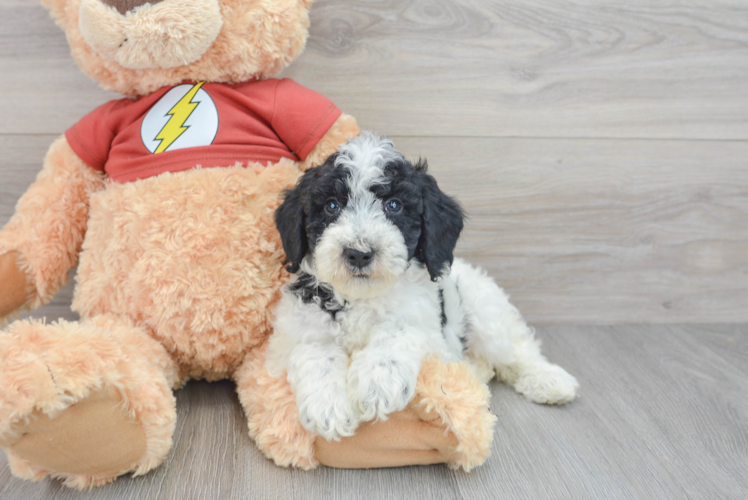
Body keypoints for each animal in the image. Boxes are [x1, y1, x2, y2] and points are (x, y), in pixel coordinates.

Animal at [266, 133, 580, 442]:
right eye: (332, 206)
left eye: (394, 205)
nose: (358, 253)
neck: (362, 297)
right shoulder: (293, 332)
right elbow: (315, 351)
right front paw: (328, 407)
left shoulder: (426, 328)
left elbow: (396, 332)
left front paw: (377, 383)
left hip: (486, 312)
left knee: (517, 351)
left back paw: (550, 381)